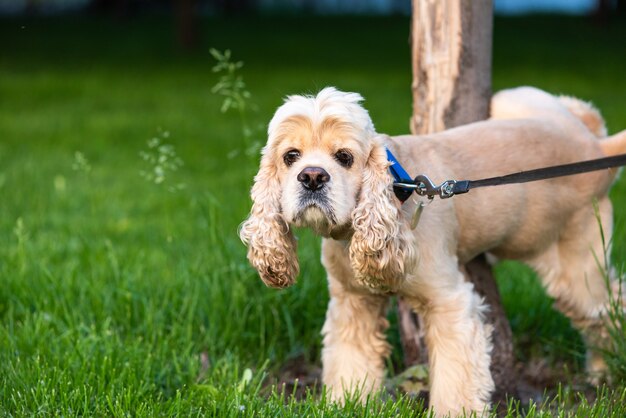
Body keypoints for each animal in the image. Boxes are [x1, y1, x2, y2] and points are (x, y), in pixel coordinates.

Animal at [238, 86, 624, 416]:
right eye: (291, 156)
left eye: (344, 157)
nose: (312, 177)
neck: (397, 190)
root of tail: (596, 149)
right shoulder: (353, 302)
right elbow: (351, 361)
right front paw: (346, 404)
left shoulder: (449, 303)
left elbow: (455, 377)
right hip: (519, 98)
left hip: (577, 269)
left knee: (607, 308)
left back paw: (603, 371)